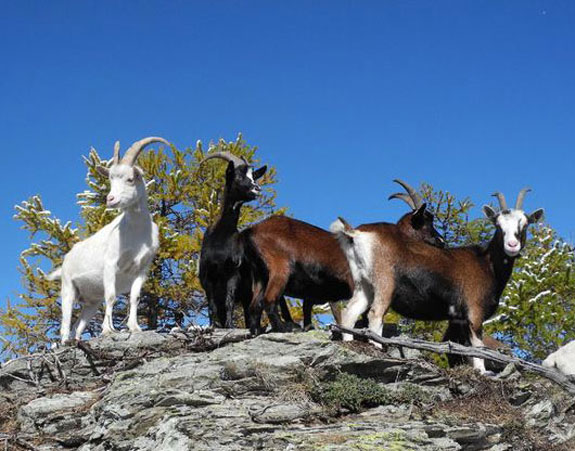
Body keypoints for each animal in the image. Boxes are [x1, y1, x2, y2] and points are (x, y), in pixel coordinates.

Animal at [49, 137, 169, 342]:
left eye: (130, 179)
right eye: (111, 179)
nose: (110, 199)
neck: (136, 233)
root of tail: (67, 258)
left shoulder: (141, 270)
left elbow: (134, 297)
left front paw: (135, 327)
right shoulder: (111, 264)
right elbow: (111, 296)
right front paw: (108, 330)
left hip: (91, 303)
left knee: (77, 327)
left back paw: (76, 341)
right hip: (68, 289)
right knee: (65, 324)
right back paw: (64, 342)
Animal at [243, 180, 446, 336]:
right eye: (424, 221)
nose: (441, 241)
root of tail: (253, 230)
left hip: (259, 275)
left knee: (254, 305)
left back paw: (256, 331)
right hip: (280, 269)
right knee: (269, 300)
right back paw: (283, 329)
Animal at [332, 188, 544, 374]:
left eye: (525, 224)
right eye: (498, 226)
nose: (512, 245)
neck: (486, 263)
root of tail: (357, 234)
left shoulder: (458, 320)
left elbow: (463, 349)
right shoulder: (474, 312)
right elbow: (478, 347)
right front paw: (483, 372)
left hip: (364, 284)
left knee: (350, 312)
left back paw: (348, 342)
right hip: (384, 283)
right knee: (375, 314)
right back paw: (378, 347)